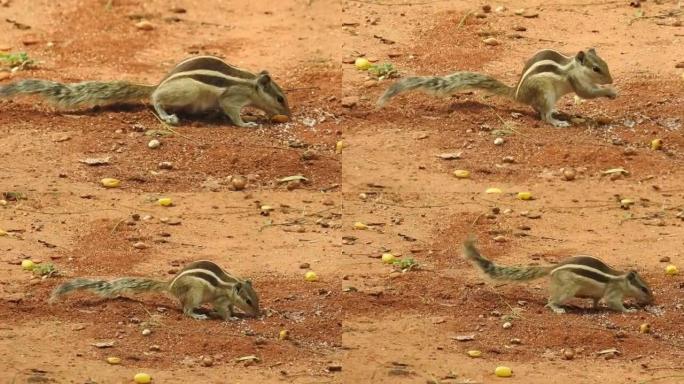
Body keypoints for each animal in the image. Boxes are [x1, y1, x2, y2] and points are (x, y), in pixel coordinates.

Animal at [49, 260, 260, 320]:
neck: (230, 285)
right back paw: (197, 314)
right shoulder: (220, 300)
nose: (258, 314)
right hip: (194, 293)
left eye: (257, 298)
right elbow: (223, 310)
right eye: (248, 301)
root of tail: (170, 285)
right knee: (186, 309)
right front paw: (231, 318)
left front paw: (236, 314)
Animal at [376, 48, 616, 127]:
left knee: (537, 109)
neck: (572, 67)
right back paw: (557, 121)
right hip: (546, 92)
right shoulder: (576, 81)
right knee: (543, 115)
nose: (611, 80)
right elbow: (587, 93)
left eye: (605, 64)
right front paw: (610, 92)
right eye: (596, 68)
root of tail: (517, 94)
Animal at [462, 237, 656, 316]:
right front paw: (629, 310)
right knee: (550, 301)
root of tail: (554, 267)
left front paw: (596, 307)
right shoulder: (613, 292)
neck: (621, 279)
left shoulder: (598, 294)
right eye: (644, 289)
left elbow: (596, 300)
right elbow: (613, 303)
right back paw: (557, 308)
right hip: (567, 290)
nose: (652, 301)